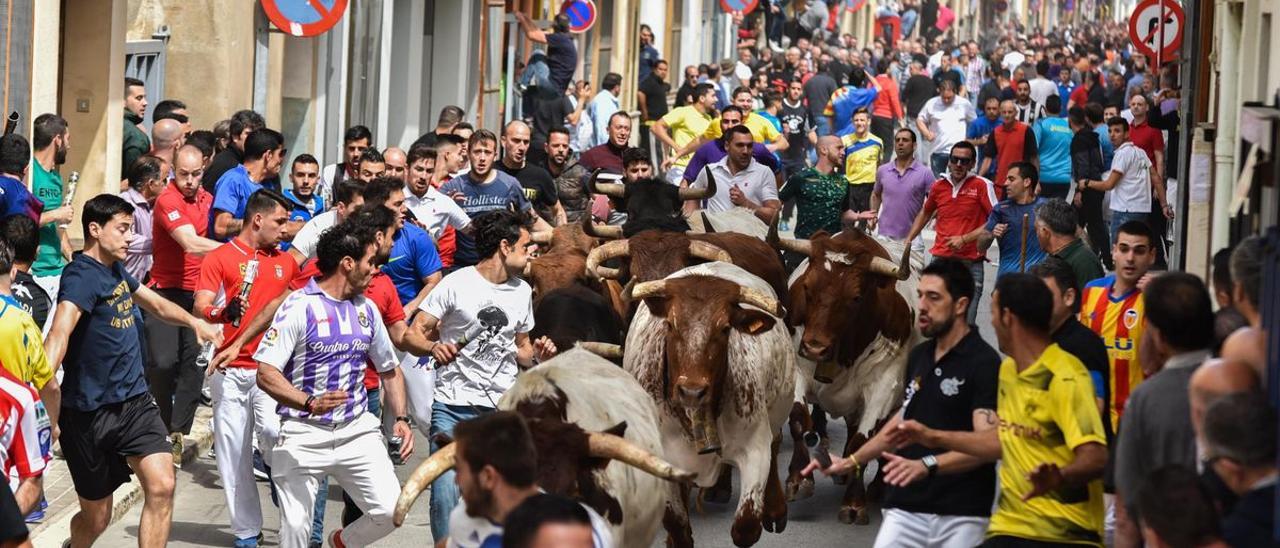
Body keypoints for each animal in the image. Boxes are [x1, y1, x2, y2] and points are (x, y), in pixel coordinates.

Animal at [624, 263, 793, 545]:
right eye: (670, 324)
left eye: (725, 328)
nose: (692, 391)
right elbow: (678, 527)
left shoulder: (755, 448)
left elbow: (746, 526)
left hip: (777, 413)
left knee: (776, 441)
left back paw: (775, 509)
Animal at [762, 220, 916, 524]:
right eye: (807, 287)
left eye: (856, 297)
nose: (815, 347)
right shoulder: (797, 370)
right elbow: (799, 420)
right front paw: (798, 479)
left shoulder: (884, 386)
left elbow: (862, 441)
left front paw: (855, 503)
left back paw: (876, 486)